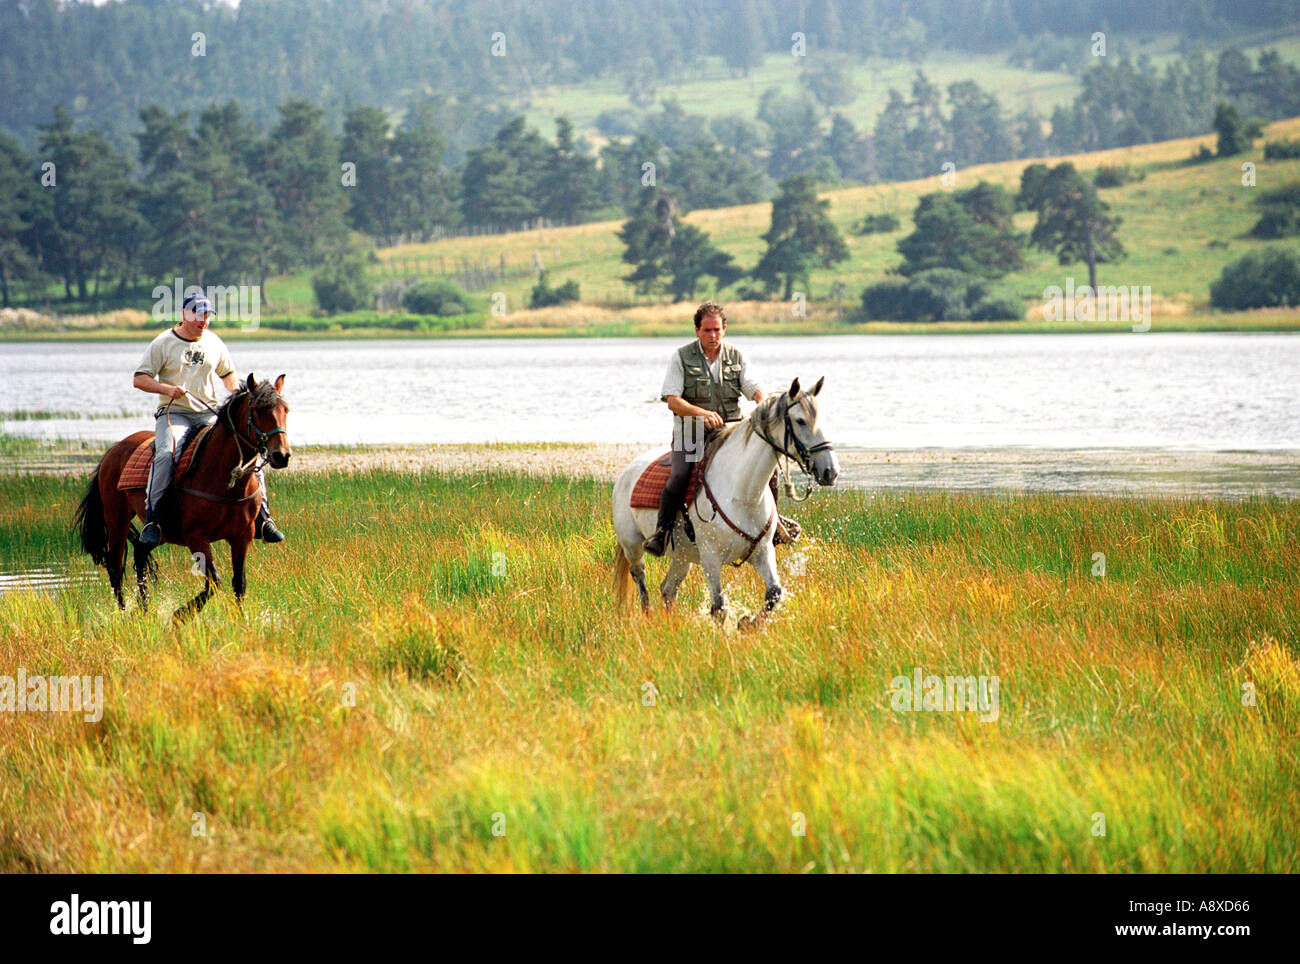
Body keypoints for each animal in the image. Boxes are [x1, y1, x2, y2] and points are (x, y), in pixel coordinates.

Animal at [74, 373, 291, 622]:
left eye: (285, 409)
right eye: (258, 410)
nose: (282, 455)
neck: (225, 479)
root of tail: (111, 452)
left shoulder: (242, 536)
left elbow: (239, 584)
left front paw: (240, 621)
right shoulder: (196, 537)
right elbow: (214, 582)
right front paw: (180, 615)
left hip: (160, 532)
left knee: (139, 554)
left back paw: (145, 608)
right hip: (116, 521)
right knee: (115, 568)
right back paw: (125, 614)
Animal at [612, 376, 839, 624]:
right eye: (800, 420)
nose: (830, 471)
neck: (743, 495)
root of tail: (626, 473)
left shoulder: (762, 551)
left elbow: (774, 594)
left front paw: (746, 624)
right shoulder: (710, 557)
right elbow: (719, 607)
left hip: (682, 556)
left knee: (668, 589)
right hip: (632, 545)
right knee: (640, 576)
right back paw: (649, 614)